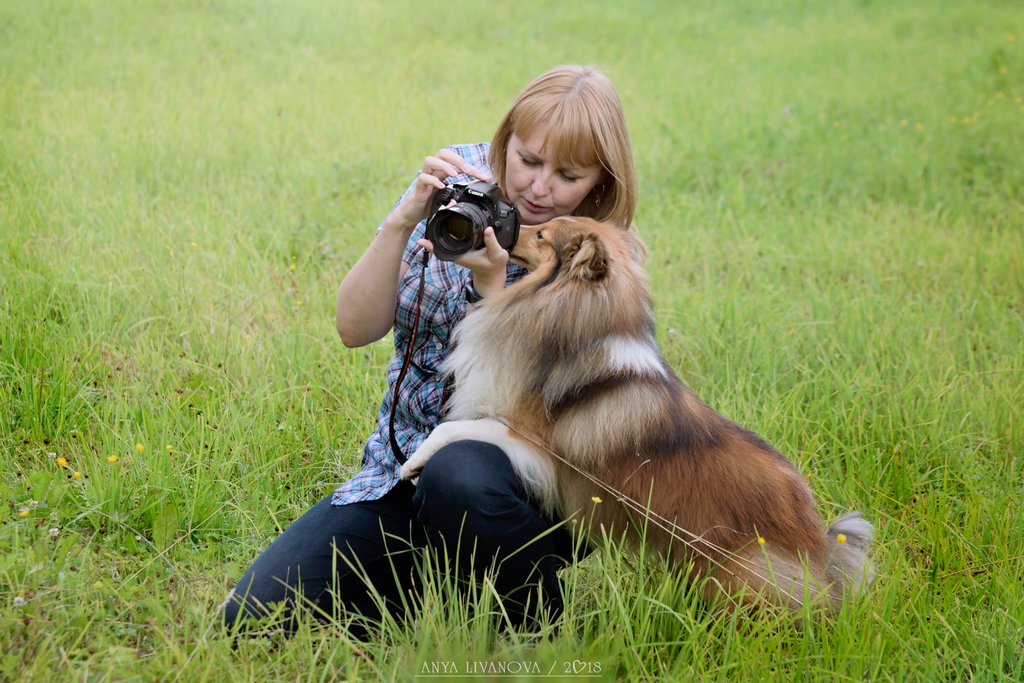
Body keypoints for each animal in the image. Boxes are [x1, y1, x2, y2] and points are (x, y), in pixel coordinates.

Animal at [399, 216, 872, 610]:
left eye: (542, 235)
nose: (509, 227)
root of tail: (822, 550)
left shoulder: (538, 446)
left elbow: (459, 427)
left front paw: (413, 463)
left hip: (741, 574)